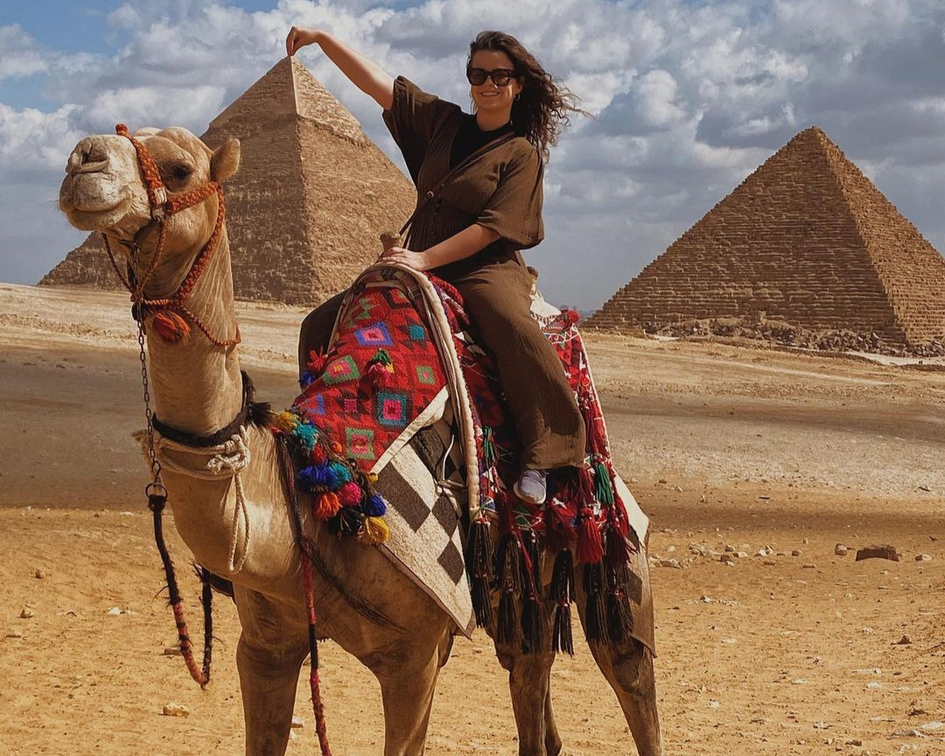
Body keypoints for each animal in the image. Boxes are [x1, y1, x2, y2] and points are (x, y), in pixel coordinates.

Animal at [59, 125, 664, 756]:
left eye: (180, 169)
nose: (84, 160)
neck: (309, 491)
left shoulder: (416, 658)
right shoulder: (264, 647)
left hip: (617, 555)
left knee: (627, 668)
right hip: (524, 582)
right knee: (530, 668)